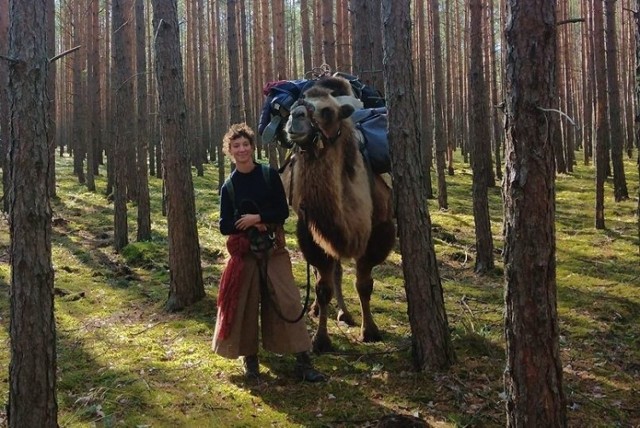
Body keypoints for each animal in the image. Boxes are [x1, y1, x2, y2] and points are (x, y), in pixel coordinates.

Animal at [284, 76, 396, 352]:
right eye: (296, 103)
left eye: (327, 111)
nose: (294, 117)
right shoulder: (310, 230)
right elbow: (323, 286)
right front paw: (321, 340)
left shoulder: (380, 231)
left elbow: (364, 284)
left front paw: (370, 330)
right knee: (326, 272)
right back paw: (318, 309)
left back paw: (345, 313)